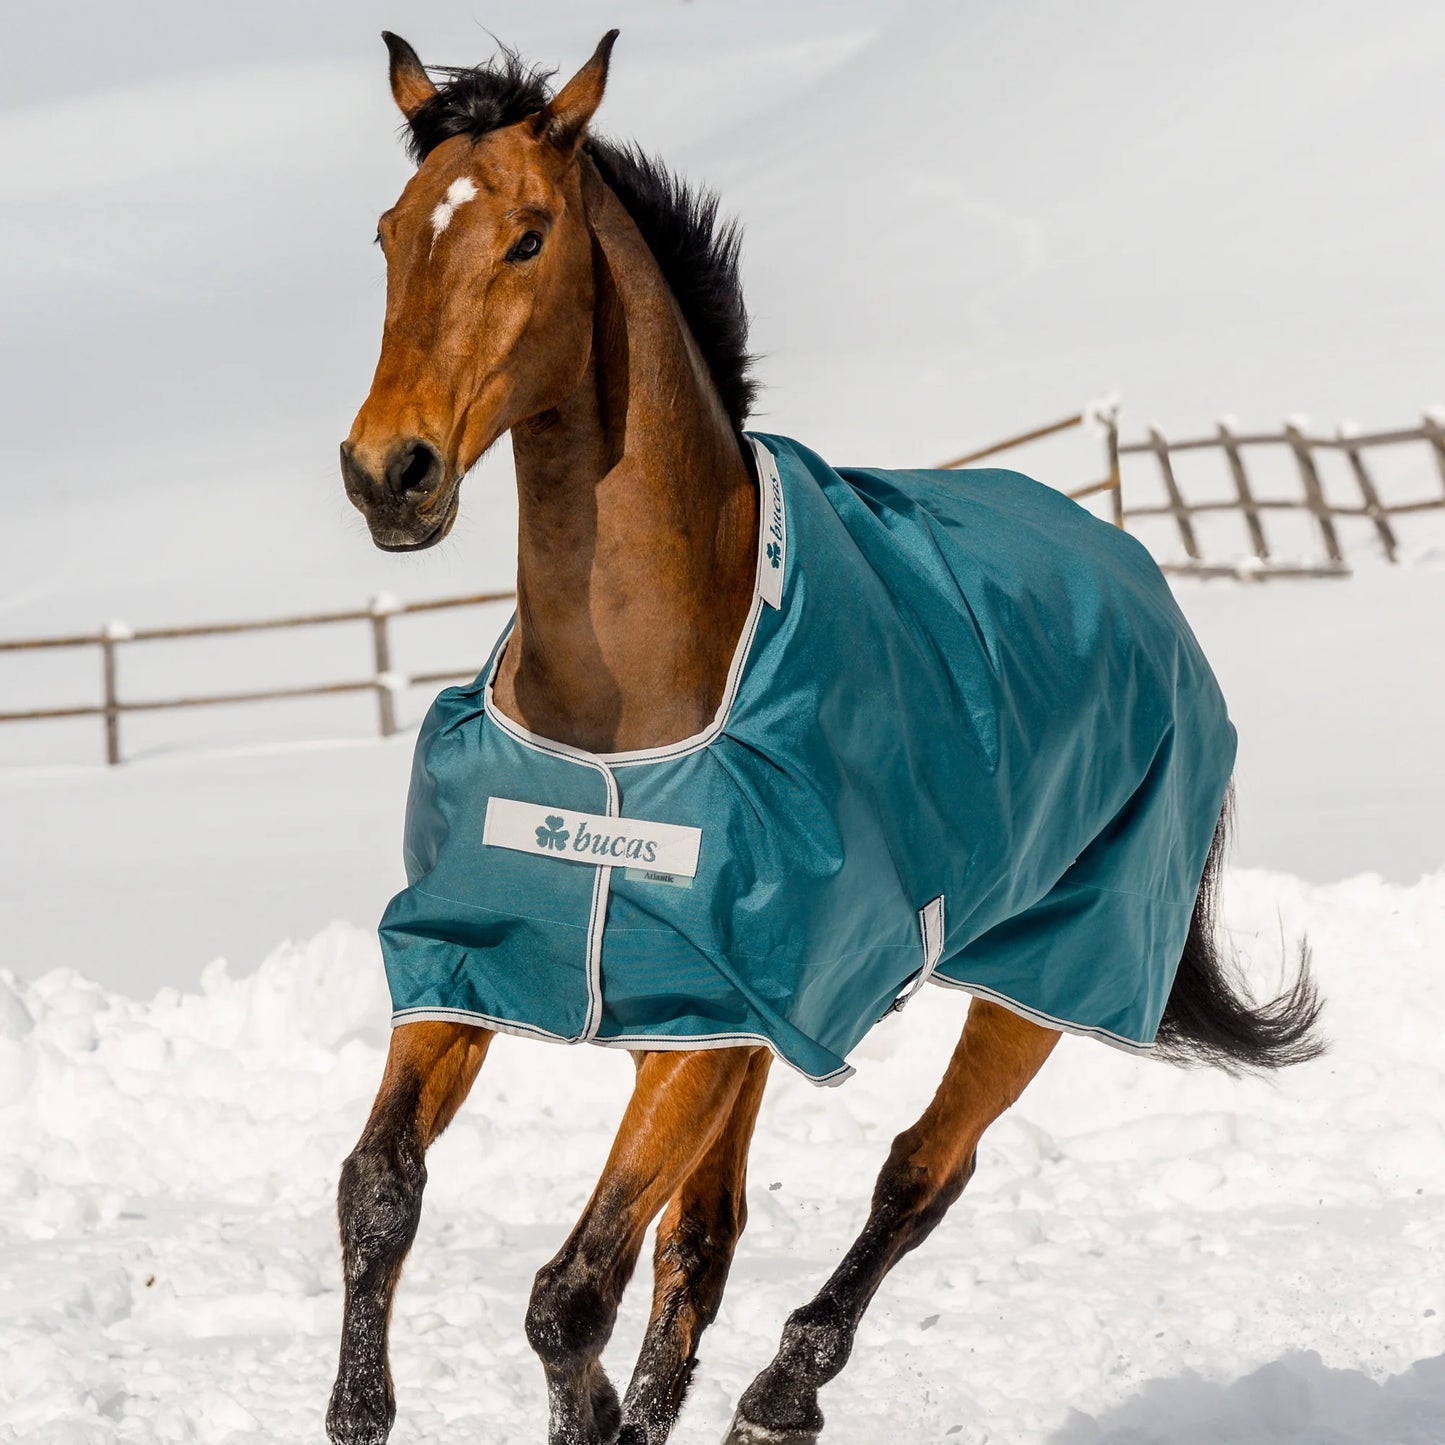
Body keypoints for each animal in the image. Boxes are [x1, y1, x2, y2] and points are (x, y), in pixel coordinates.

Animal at [327, 31, 1323, 1445]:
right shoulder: (487, 973)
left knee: (919, 1170)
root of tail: (1133, 569)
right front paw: (372, 1405)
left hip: (1047, 974)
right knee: (709, 1237)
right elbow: (382, 1192)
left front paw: (596, 1413)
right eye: (390, 233)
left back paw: (781, 1388)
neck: (626, 720)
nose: (388, 474)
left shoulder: (712, 1024)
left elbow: (569, 1290)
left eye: (526, 238)